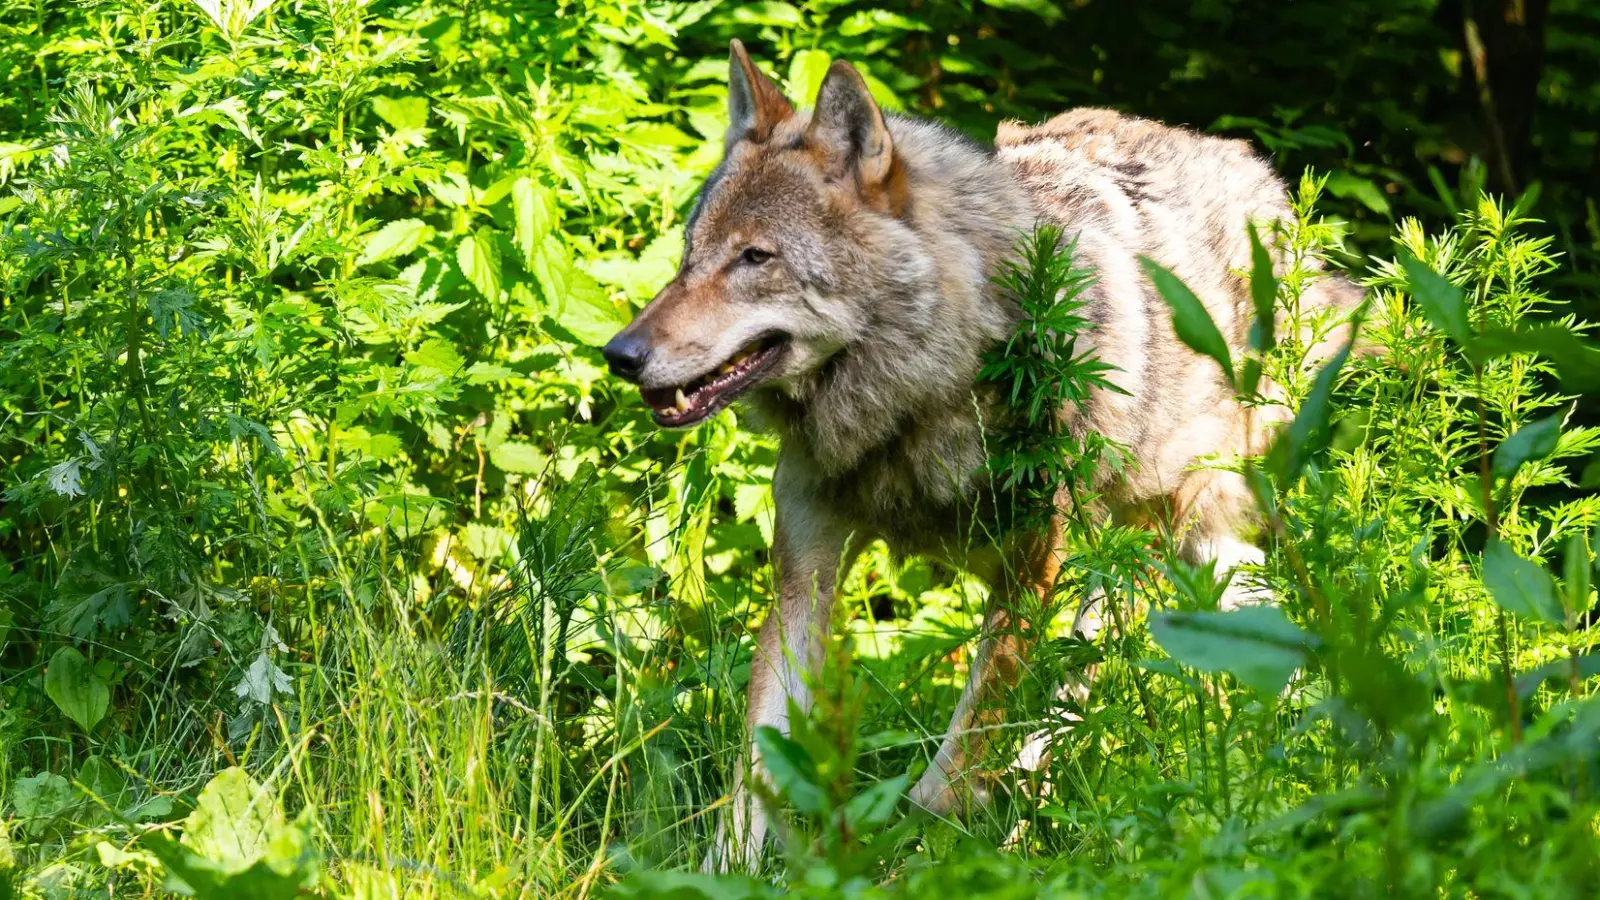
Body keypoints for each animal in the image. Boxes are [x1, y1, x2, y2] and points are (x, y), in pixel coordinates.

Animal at [601, 40, 1363, 864]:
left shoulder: (1030, 577)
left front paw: (920, 864)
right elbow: (753, 781)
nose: (620, 355)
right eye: (689, 256)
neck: (915, 403)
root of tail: (1258, 174)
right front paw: (715, 874)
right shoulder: (805, 578)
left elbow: (946, 779)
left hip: (1160, 545)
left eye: (755, 258)